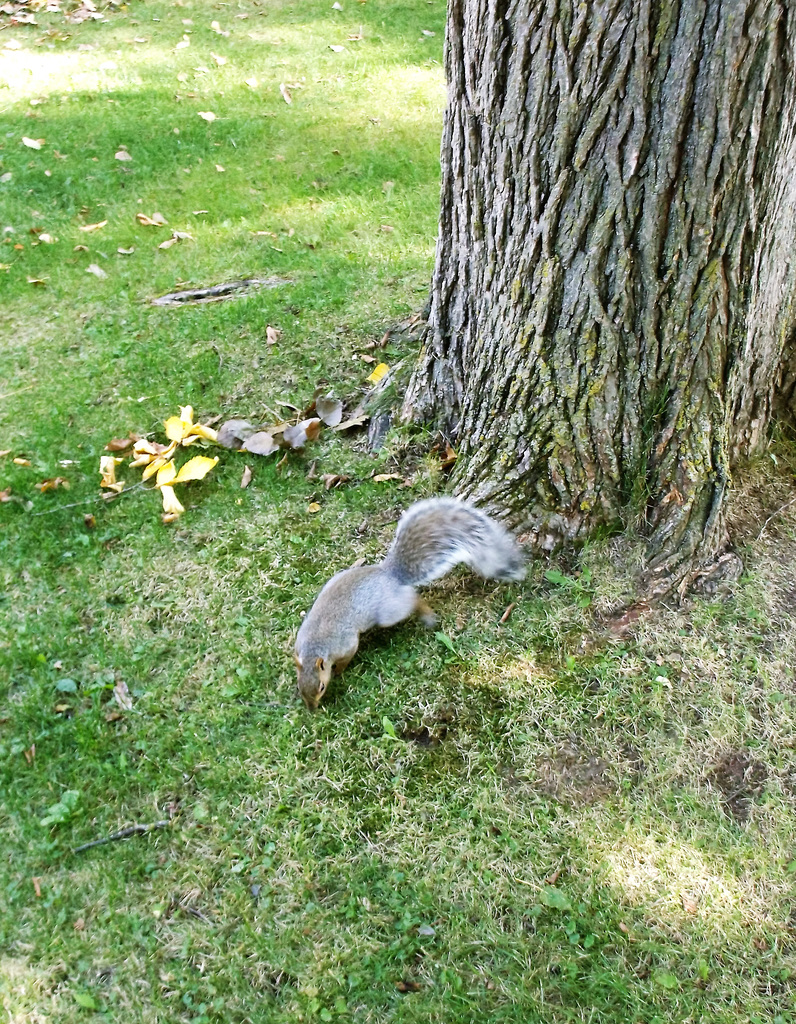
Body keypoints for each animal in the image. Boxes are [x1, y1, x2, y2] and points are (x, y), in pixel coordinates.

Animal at [295, 497, 524, 708]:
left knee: (413, 600)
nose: (312, 710)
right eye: (299, 687)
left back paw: (427, 615)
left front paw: (339, 672)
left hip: (390, 611)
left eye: (321, 687)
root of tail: (390, 574)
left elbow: (347, 657)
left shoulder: (346, 644)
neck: (315, 646)